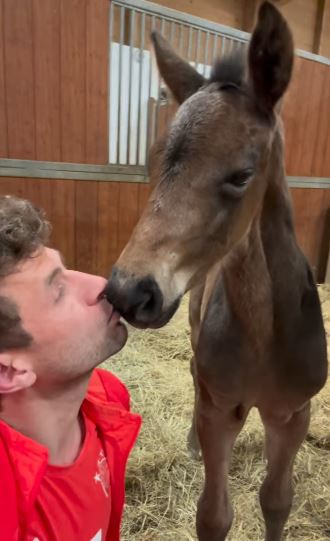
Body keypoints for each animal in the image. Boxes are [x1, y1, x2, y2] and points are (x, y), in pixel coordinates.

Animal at [107, 4, 328, 540]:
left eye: (242, 175)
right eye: (155, 164)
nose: (128, 291)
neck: (265, 333)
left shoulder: (293, 412)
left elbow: (277, 499)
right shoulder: (220, 408)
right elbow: (213, 516)